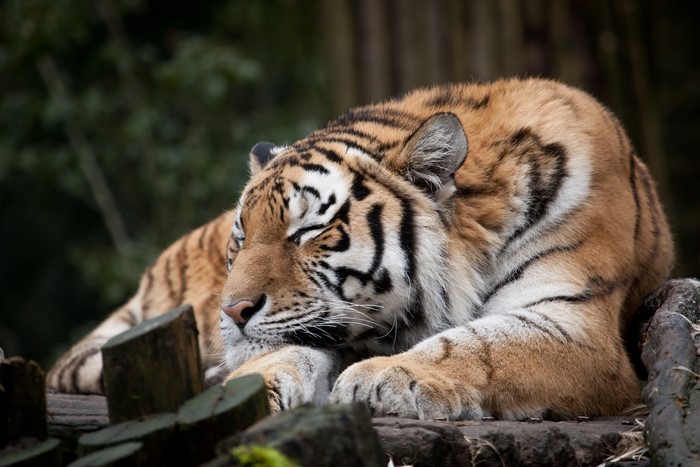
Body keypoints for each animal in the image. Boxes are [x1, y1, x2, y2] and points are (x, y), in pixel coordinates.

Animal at [48, 77, 673, 421]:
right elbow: (281, 355)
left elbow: (476, 345)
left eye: (306, 232)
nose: (233, 310)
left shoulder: (573, 323)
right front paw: (243, 389)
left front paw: (386, 378)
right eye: (242, 236)